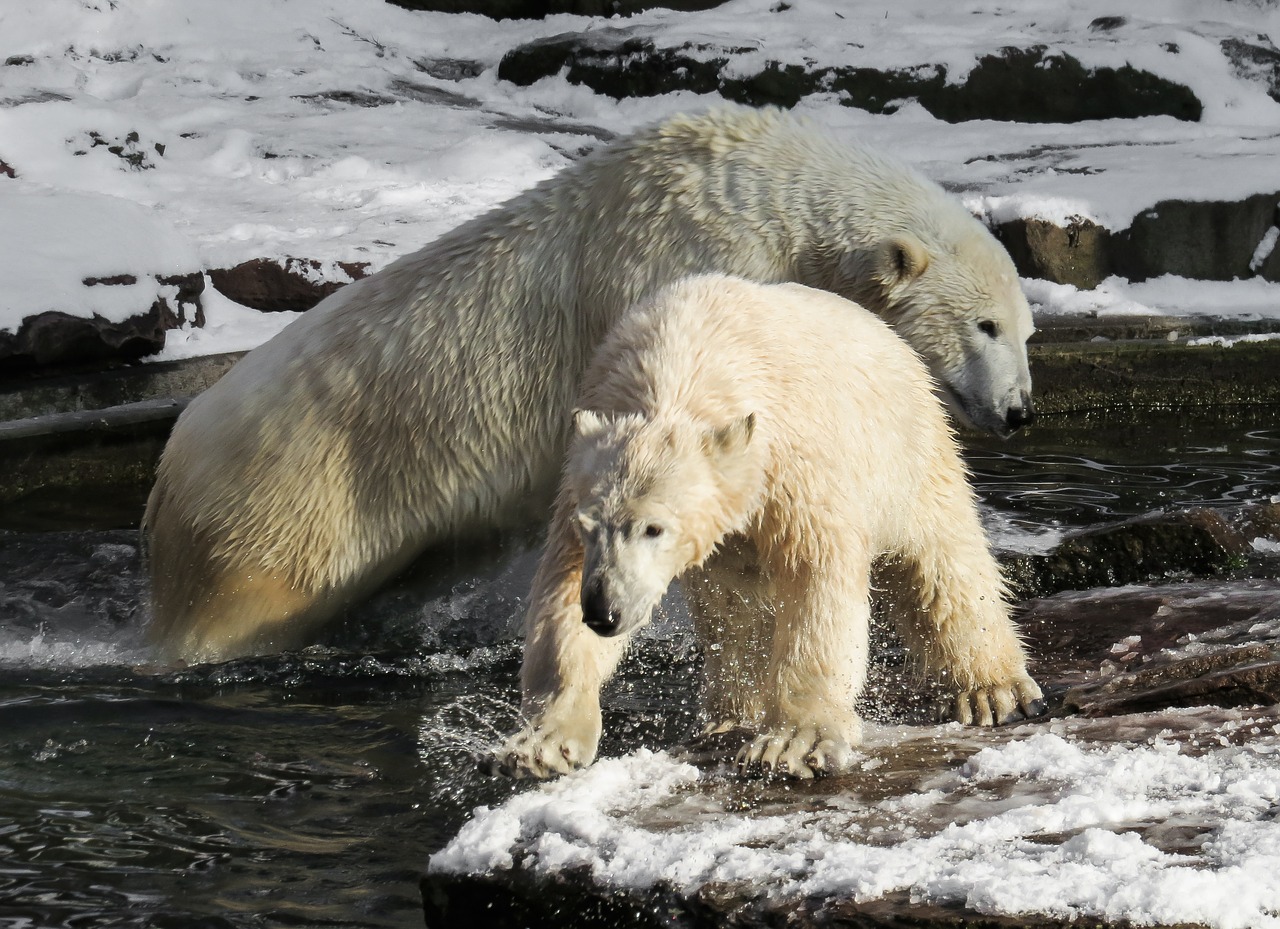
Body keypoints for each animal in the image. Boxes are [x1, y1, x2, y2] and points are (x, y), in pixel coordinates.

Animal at [145, 105, 1034, 665]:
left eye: (1024, 329)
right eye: (984, 325)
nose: (1020, 410)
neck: (760, 197)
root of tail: (167, 471)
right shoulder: (682, 262)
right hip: (288, 507)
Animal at [494, 275, 1044, 778]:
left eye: (654, 528)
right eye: (590, 527)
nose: (604, 613)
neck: (679, 361)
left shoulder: (793, 460)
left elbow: (817, 578)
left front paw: (791, 745)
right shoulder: (580, 480)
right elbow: (561, 591)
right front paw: (542, 744)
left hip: (908, 453)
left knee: (943, 564)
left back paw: (996, 691)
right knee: (734, 615)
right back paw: (726, 717)